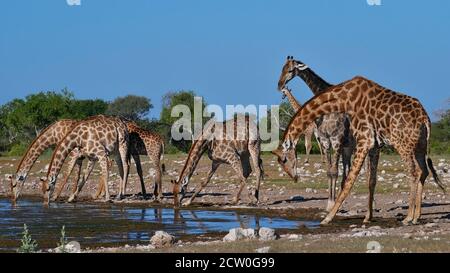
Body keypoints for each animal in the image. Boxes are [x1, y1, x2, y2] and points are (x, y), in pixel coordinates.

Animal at [270, 75, 446, 224]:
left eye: (283, 160)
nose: (294, 178)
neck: (343, 99)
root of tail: (425, 118)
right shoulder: (374, 145)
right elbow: (370, 179)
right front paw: (367, 217)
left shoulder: (363, 140)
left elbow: (349, 180)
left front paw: (328, 217)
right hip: (420, 146)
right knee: (423, 171)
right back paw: (416, 216)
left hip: (402, 145)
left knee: (414, 172)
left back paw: (408, 217)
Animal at [278, 55, 356, 210]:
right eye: (281, 69)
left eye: (290, 70)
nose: (279, 85)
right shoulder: (326, 140)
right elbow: (329, 172)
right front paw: (330, 203)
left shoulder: (335, 139)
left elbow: (334, 171)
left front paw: (332, 204)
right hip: (347, 147)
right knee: (347, 171)